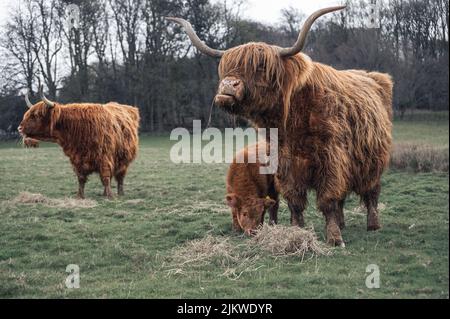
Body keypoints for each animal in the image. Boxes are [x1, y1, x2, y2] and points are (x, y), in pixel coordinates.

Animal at [167, 5, 392, 248]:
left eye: (261, 67)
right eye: (226, 67)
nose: (228, 85)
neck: (292, 120)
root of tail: (375, 76)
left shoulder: (331, 160)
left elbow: (328, 200)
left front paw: (334, 238)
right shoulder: (284, 164)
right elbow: (295, 201)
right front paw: (296, 231)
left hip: (373, 162)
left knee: (371, 193)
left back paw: (373, 224)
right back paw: (343, 223)